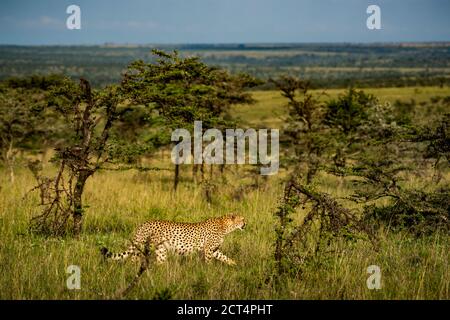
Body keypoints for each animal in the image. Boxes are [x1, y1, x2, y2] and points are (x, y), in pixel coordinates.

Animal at [100, 215, 246, 264]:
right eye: (242, 219)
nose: (246, 224)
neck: (225, 226)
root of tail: (144, 223)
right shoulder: (209, 249)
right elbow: (209, 261)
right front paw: (209, 271)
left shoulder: (214, 250)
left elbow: (225, 257)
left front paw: (235, 264)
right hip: (148, 246)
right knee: (135, 258)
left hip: (157, 249)